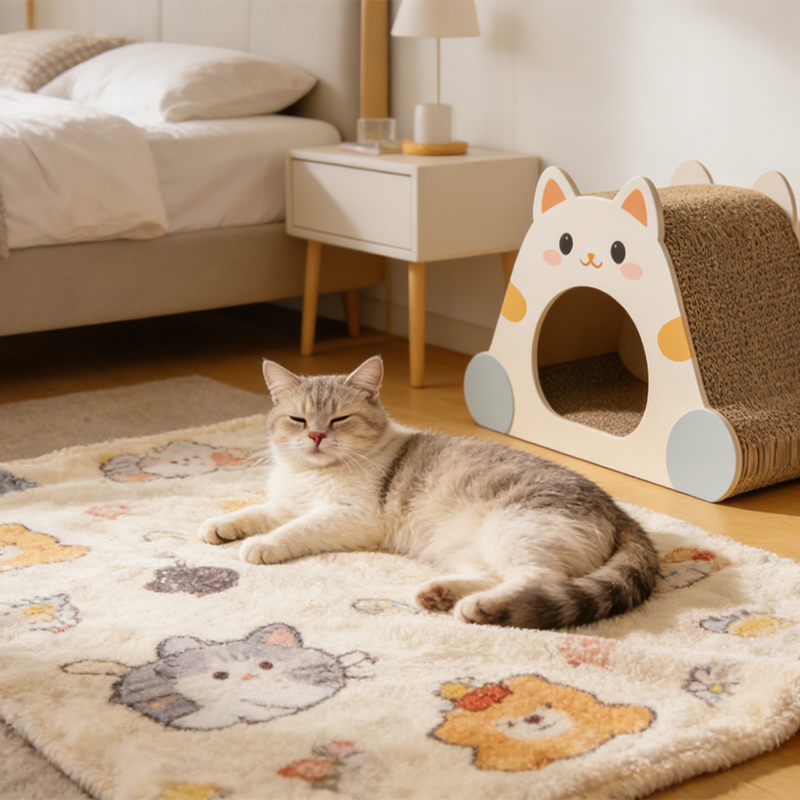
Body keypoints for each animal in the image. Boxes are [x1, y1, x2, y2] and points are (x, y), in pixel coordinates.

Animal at [199, 357, 659, 629]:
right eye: (298, 419)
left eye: (340, 419)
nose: (315, 436)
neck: (312, 475)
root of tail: (620, 512)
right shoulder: (284, 504)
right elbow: (255, 512)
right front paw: (220, 526)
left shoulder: (348, 516)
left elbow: (295, 529)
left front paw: (262, 545)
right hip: (475, 547)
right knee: (500, 576)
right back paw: (440, 594)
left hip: (513, 529)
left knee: (539, 579)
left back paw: (481, 607)